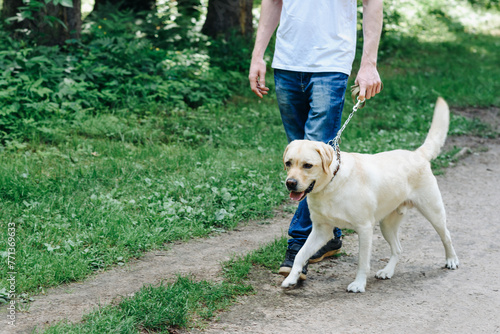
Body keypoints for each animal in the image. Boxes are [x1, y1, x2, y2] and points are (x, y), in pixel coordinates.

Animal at [282, 98, 458, 290]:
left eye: (307, 165)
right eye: (288, 163)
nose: (290, 183)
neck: (332, 184)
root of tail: (416, 154)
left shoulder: (364, 228)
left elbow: (362, 261)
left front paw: (359, 284)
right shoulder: (321, 230)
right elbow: (300, 254)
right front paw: (291, 277)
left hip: (433, 212)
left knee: (447, 236)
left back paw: (451, 260)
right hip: (387, 225)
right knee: (398, 249)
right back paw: (387, 271)